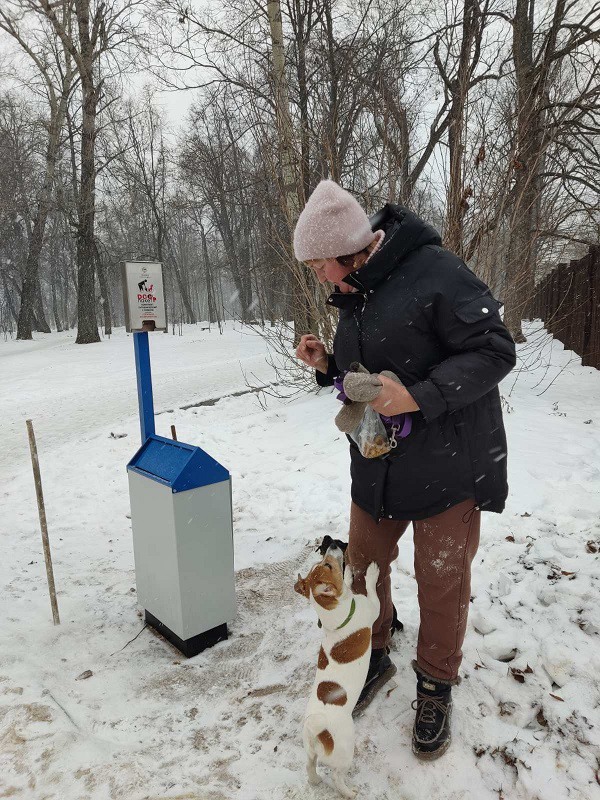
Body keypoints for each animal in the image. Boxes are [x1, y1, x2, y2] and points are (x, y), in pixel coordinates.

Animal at [294, 548, 380, 796]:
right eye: (328, 565)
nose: (333, 548)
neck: (336, 619)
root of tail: (318, 732)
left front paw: (350, 574)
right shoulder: (373, 608)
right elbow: (372, 591)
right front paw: (371, 574)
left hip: (309, 751)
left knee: (309, 765)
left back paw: (314, 780)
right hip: (345, 751)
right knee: (337, 777)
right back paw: (350, 792)